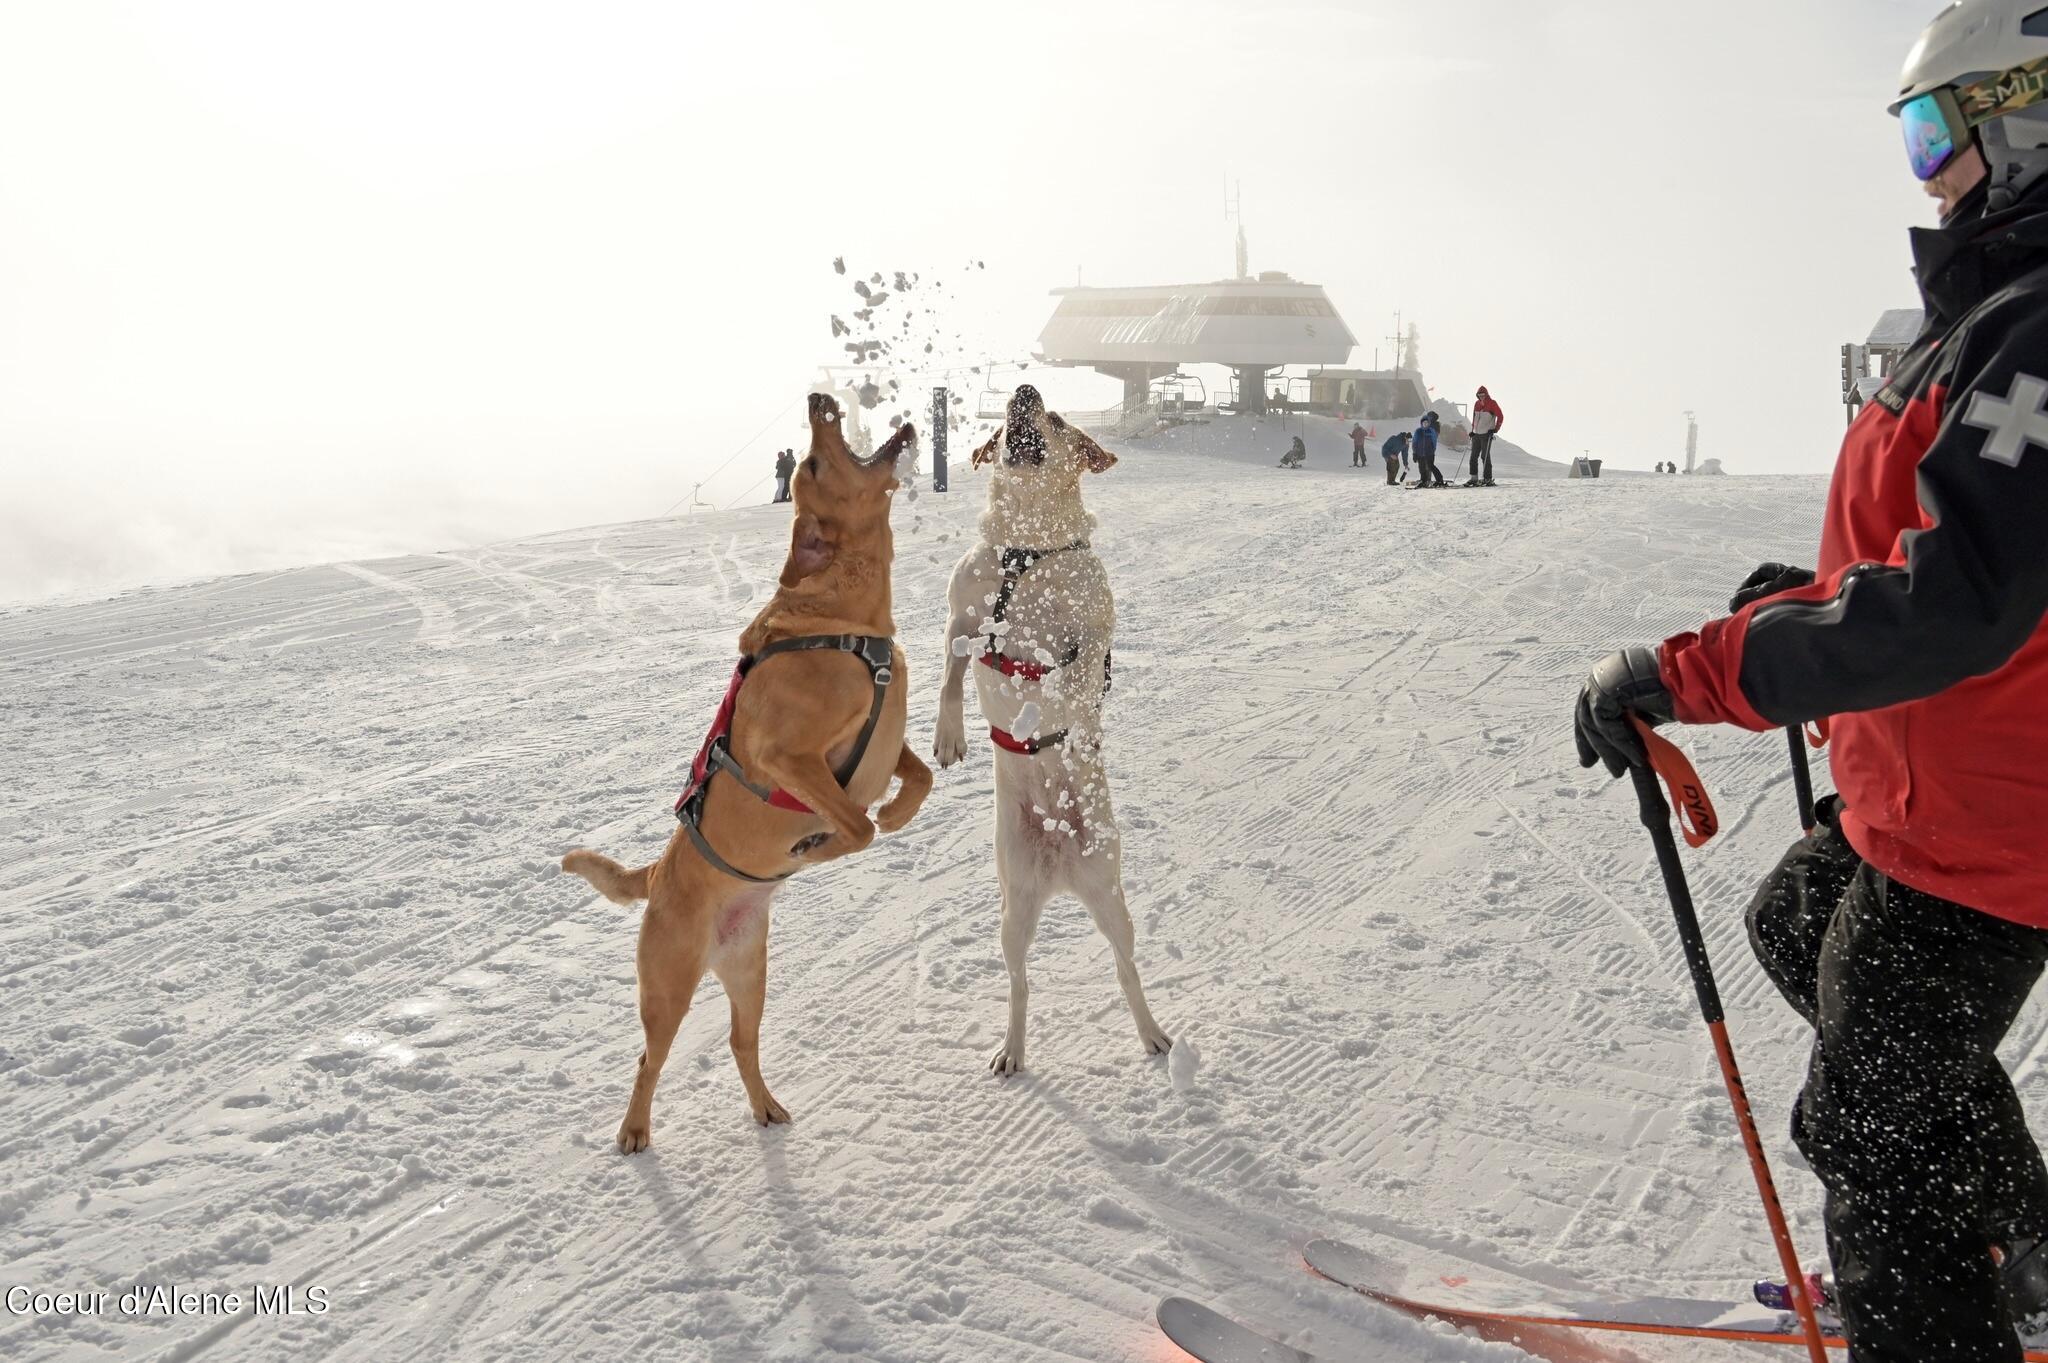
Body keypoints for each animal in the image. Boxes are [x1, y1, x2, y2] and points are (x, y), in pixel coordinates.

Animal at [569, 392, 937, 1146]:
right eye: (814, 464)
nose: (819, 399)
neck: (845, 621)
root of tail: (655, 876)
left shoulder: (887, 742)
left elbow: (917, 781)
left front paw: (895, 811)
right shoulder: (786, 757)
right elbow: (855, 828)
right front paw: (819, 844)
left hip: (750, 973)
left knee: (743, 1041)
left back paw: (767, 1106)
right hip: (667, 988)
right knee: (649, 1056)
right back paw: (634, 1130)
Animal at [929, 382, 1171, 1072]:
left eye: (1058, 418)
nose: (1025, 390)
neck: (1026, 549)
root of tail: (1061, 869)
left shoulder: (1091, 633)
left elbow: (1073, 676)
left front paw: (1057, 708)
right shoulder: (961, 619)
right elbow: (951, 673)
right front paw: (950, 738)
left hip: (1112, 899)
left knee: (1126, 969)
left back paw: (1152, 1035)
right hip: (1013, 913)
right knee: (1019, 985)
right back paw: (1010, 1051)